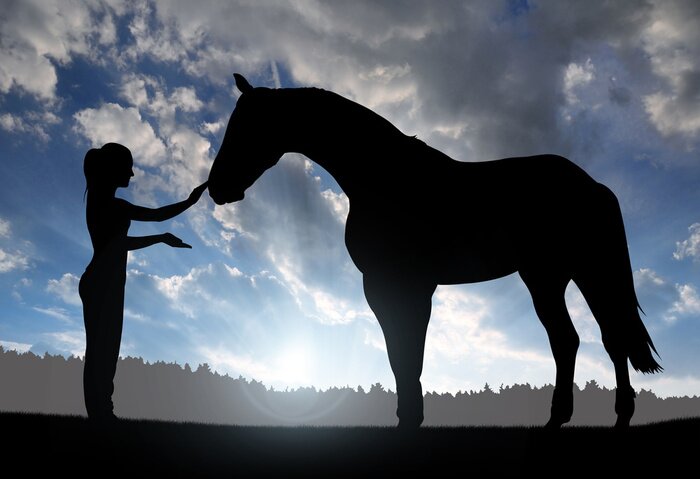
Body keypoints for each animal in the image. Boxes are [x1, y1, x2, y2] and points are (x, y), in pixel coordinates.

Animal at [208, 73, 661, 428]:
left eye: (248, 126)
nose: (216, 188)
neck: (385, 182)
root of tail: (593, 185)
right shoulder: (390, 287)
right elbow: (400, 354)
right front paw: (408, 416)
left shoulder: (402, 286)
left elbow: (408, 352)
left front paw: (410, 419)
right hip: (563, 276)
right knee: (593, 339)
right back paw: (595, 417)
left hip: (566, 274)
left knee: (588, 339)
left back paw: (582, 418)